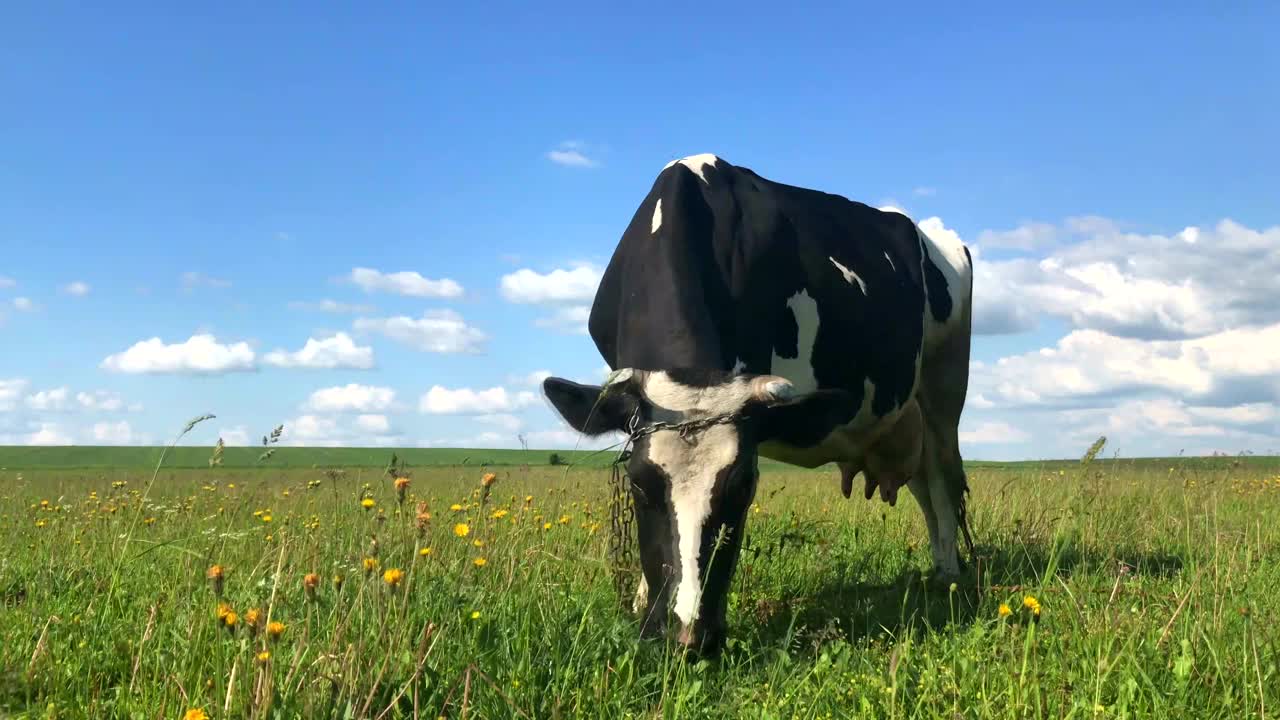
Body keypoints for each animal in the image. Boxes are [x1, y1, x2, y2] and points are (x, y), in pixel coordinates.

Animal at [537, 154, 967, 653]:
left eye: (744, 487)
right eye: (638, 485)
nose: (687, 636)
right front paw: (643, 602)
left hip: (945, 388)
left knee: (943, 483)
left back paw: (950, 576)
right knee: (923, 486)